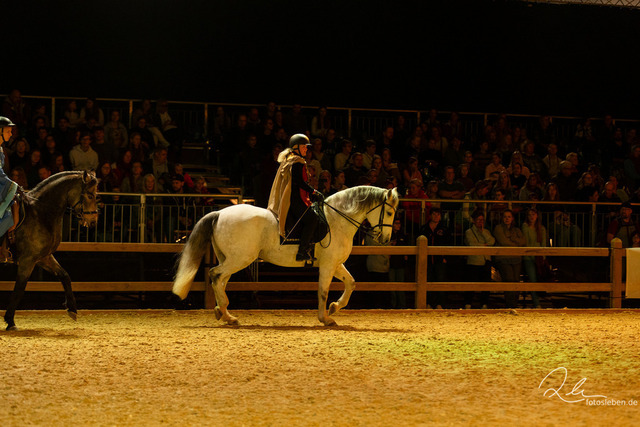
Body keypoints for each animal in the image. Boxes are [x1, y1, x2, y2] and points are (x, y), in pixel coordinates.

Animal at [3, 171, 99, 330]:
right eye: (90, 196)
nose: (93, 221)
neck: (40, 213)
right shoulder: (27, 261)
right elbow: (19, 290)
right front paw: (10, 321)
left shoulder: (43, 257)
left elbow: (65, 276)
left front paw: (72, 309)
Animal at [173, 186, 399, 326]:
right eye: (389, 212)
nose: (385, 239)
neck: (337, 219)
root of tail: (220, 213)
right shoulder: (327, 265)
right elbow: (323, 291)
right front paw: (325, 318)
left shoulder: (335, 264)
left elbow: (351, 283)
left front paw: (335, 308)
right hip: (240, 259)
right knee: (215, 275)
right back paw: (227, 313)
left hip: (231, 258)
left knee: (220, 280)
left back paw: (224, 313)